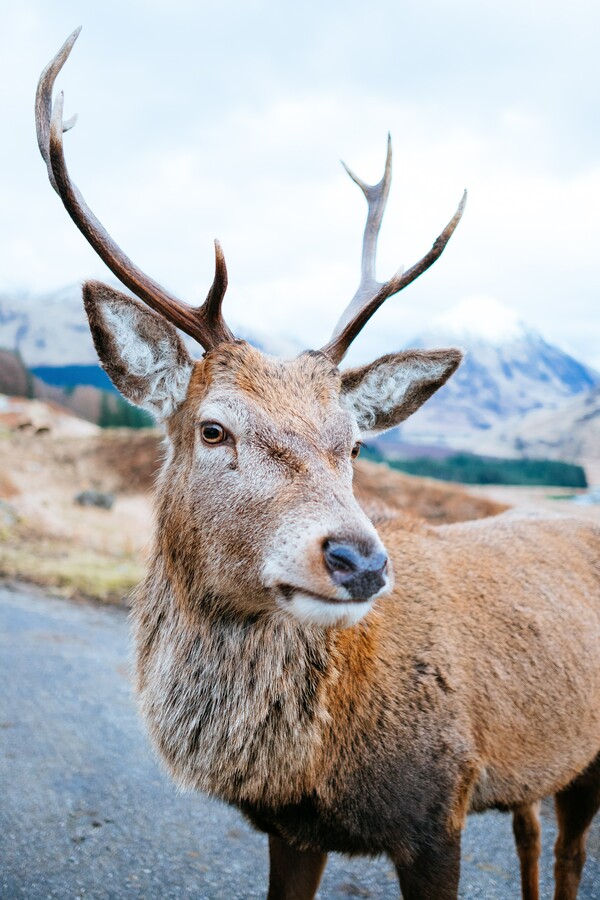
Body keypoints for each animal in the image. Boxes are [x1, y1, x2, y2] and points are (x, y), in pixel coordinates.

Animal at [36, 29, 600, 900]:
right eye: (213, 429)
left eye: (355, 443)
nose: (360, 560)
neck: (312, 769)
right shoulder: (291, 831)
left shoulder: (439, 807)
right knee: (535, 832)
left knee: (570, 851)